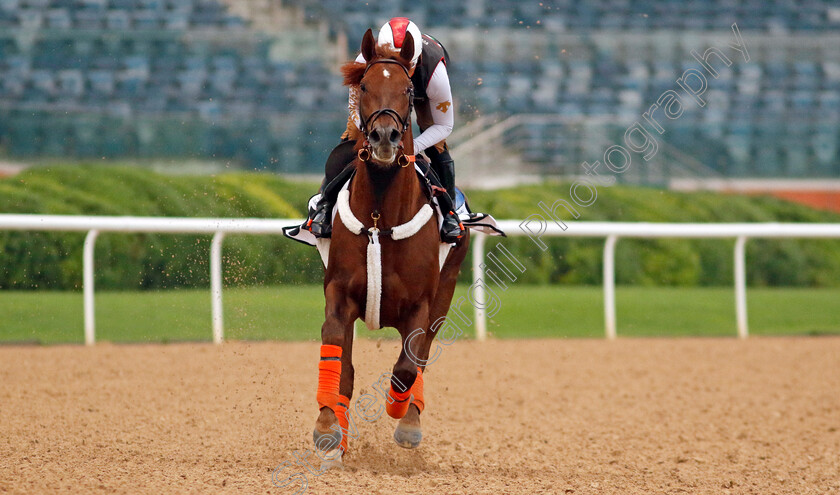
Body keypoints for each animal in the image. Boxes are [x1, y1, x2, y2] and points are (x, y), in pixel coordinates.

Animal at [314, 27, 472, 464]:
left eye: (407, 89)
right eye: (365, 86)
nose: (384, 138)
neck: (380, 218)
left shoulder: (421, 305)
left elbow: (407, 366)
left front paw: (402, 417)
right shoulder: (338, 292)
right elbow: (337, 353)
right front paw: (328, 429)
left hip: (446, 288)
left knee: (420, 359)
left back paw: (410, 416)